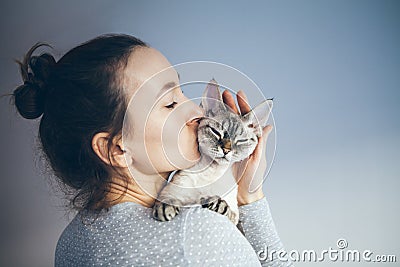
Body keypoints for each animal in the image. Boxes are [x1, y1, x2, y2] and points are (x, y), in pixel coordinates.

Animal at [152, 78, 274, 227]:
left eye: (241, 141)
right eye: (216, 132)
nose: (226, 150)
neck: (211, 172)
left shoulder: (235, 220)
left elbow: (228, 210)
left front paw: (215, 203)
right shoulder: (173, 190)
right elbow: (167, 198)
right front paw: (165, 207)